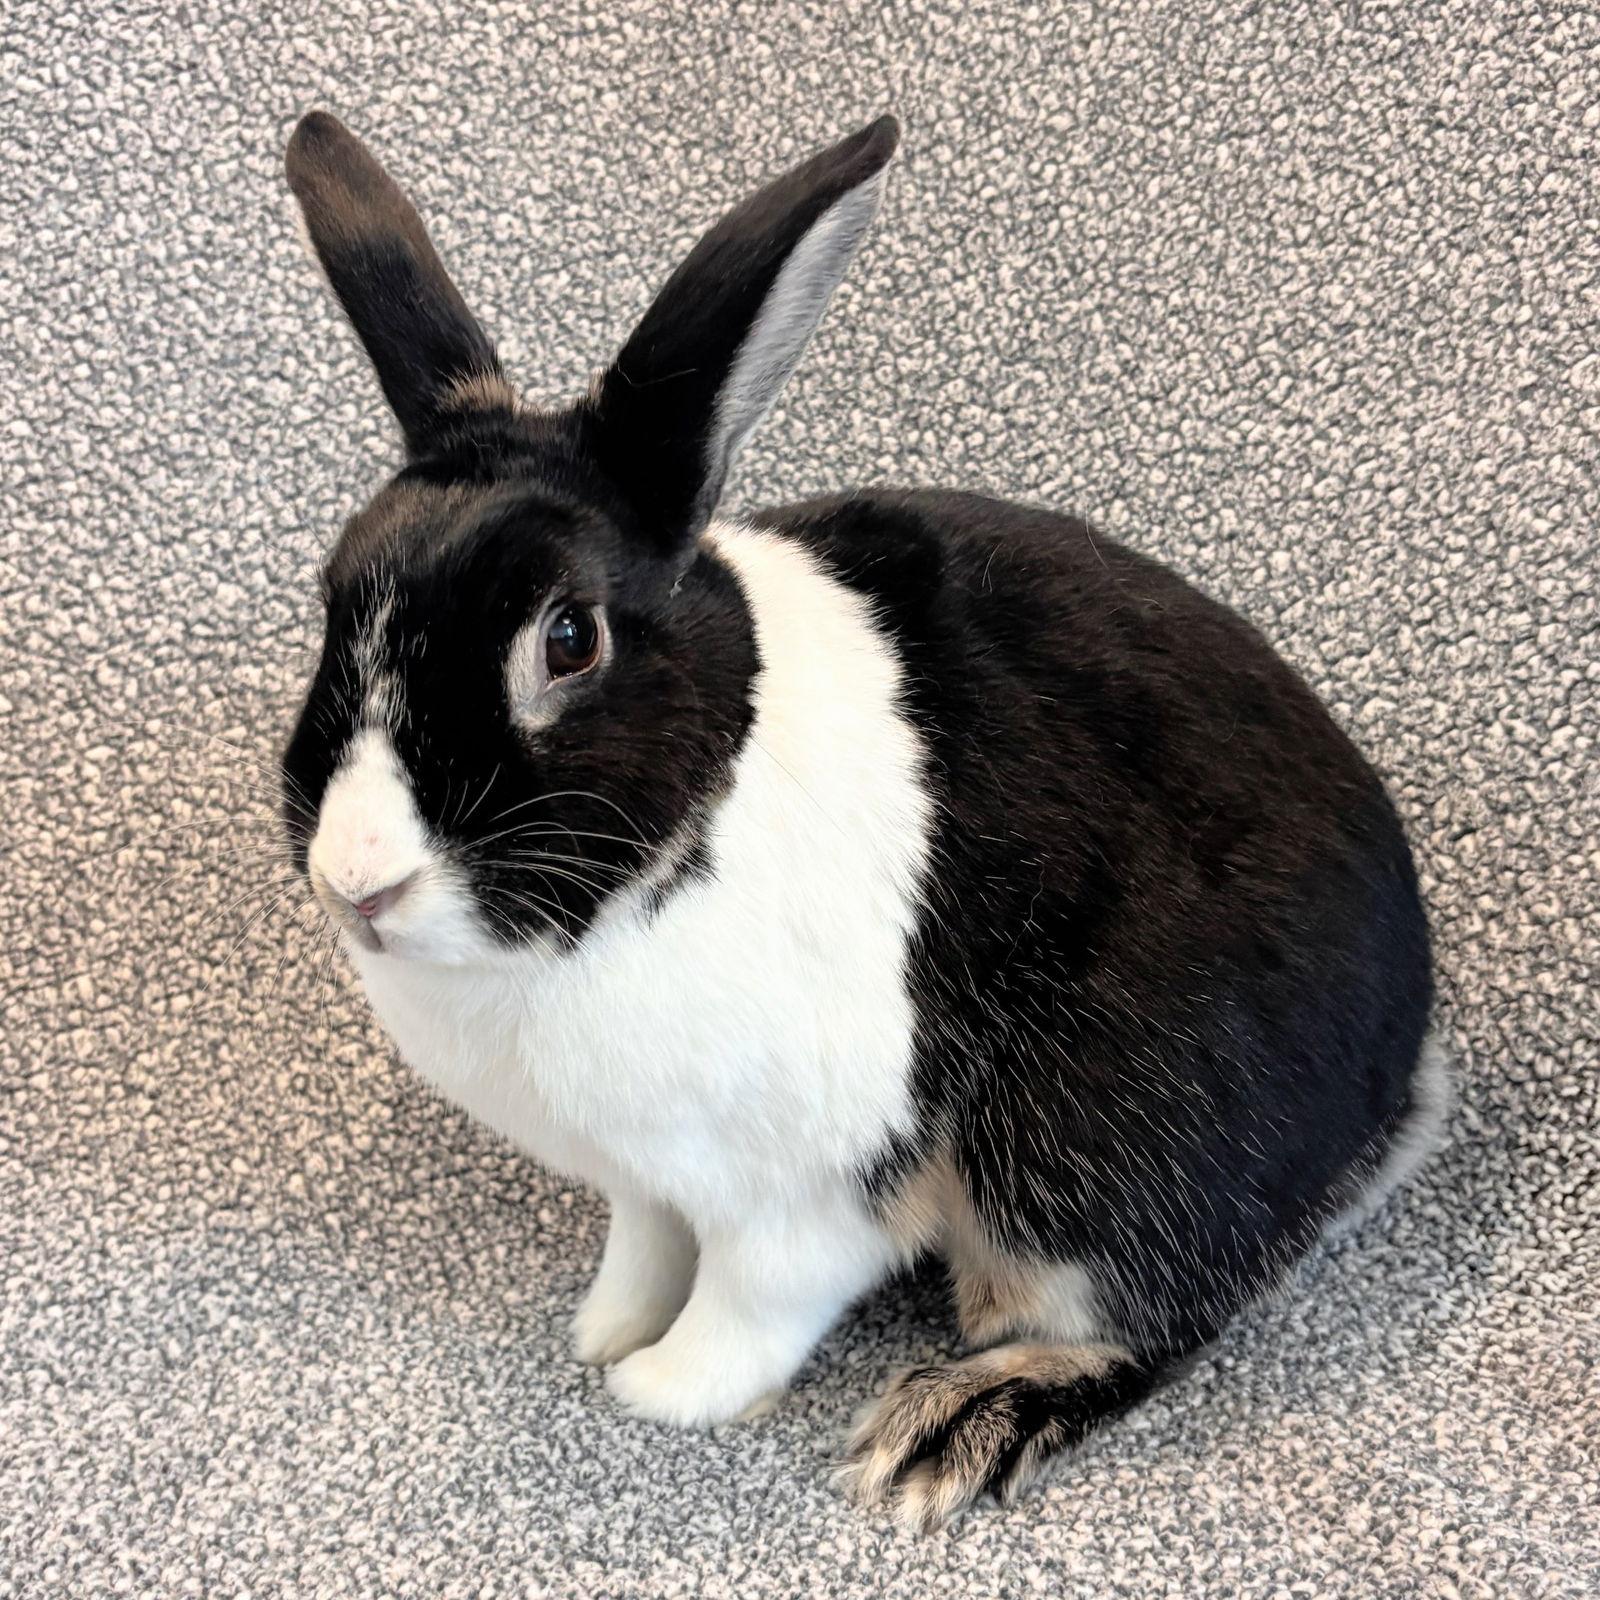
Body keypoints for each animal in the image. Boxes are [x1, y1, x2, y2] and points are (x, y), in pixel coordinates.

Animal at [278, 109, 1443, 1530]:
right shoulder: (645, 1178)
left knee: (1141, 1321)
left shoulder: (808, 1192)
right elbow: (642, 1248)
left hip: (1096, 1149)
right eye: (331, 606)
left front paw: (661, 1390)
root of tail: (1403, 1086)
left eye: (567, 639)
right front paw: (603, 1332)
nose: (359, 881)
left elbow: (754, 1302)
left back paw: (945, 1432)